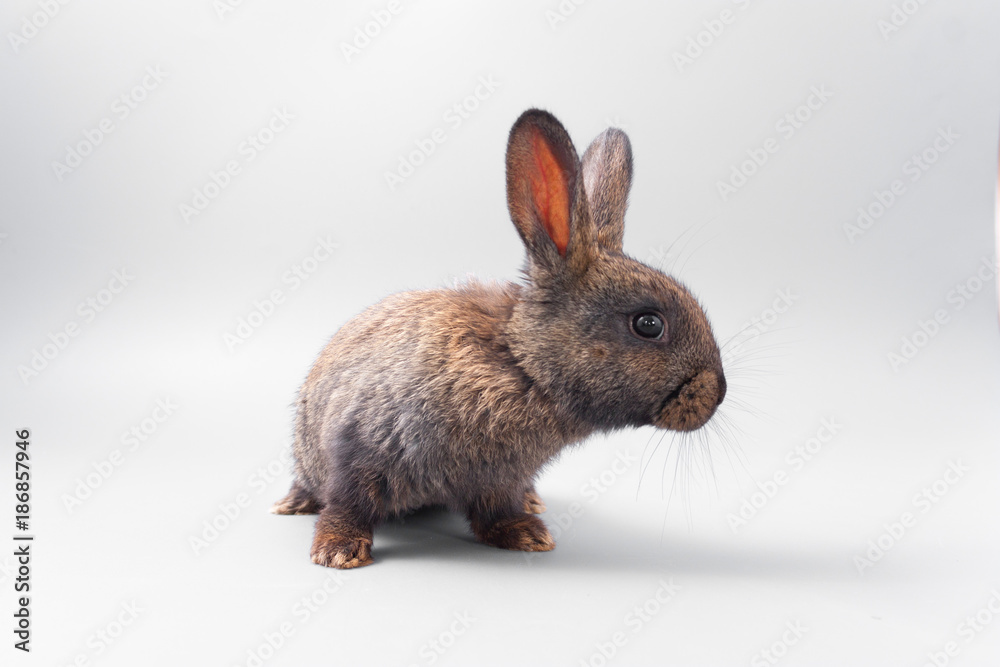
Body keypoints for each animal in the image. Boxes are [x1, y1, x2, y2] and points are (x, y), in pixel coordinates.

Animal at [272, 109, 726, 568]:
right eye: (649, 324)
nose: (718, 392)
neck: (522, 365)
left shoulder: (499, 480)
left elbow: (496, 509)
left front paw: (526, 534)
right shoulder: (361, 445)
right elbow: (349, 502)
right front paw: (338, 551)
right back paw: (293, 504)